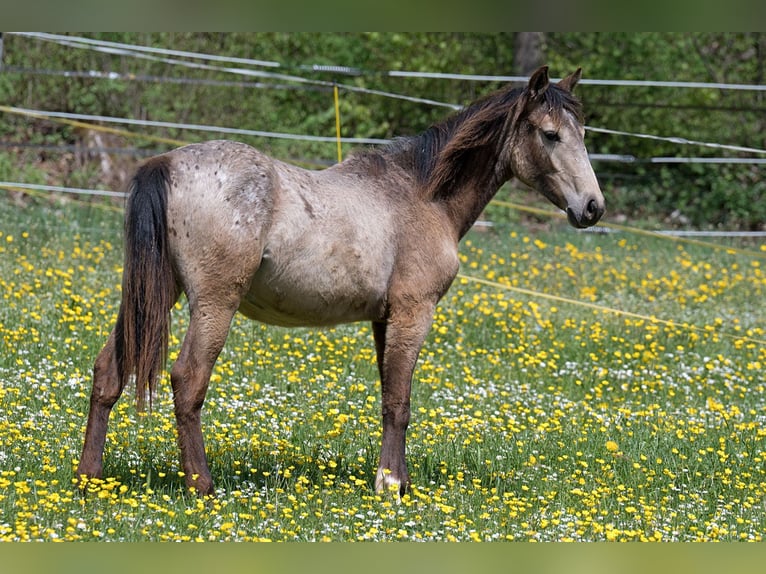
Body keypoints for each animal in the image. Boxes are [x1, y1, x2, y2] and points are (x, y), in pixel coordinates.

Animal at [76, 66, 605, 497]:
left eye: (582, 132)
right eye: (550, 134)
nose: (593, 207)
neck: (422, 194)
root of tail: (164, 164)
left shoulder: (384, 320)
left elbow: (390, 398)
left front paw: (398, 481)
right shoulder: (414, 312)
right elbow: (400, 402)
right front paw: (389, 486)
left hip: (152, 298)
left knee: (108, 373)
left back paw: (89, 478)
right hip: (213, 304)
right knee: (188, 381)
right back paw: (200, 486)